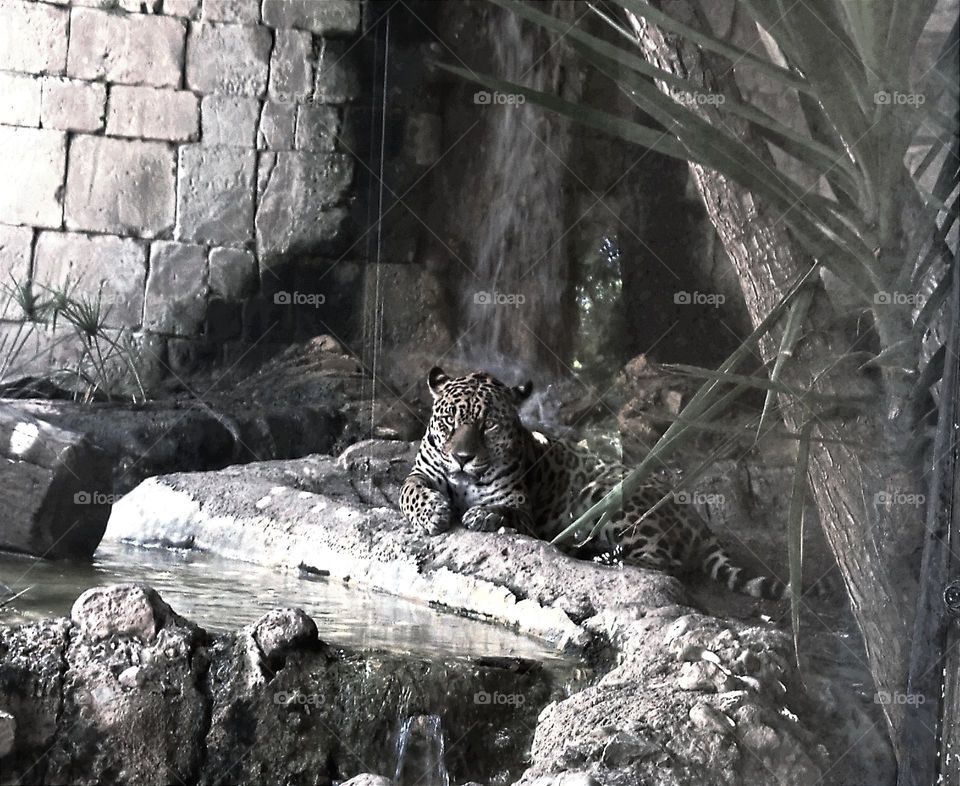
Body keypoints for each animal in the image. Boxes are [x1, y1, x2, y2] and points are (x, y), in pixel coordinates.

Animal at [400, 367, 788, 600]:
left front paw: (481, 515)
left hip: (608, 497)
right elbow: (409, 491)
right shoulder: (421, 473)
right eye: (449, 421)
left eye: (489, 426)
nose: (462, 457)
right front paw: (432, 513)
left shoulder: (521, 507)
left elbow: (503, 510)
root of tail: (694, 515)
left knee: (665, 563)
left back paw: (601, 558)